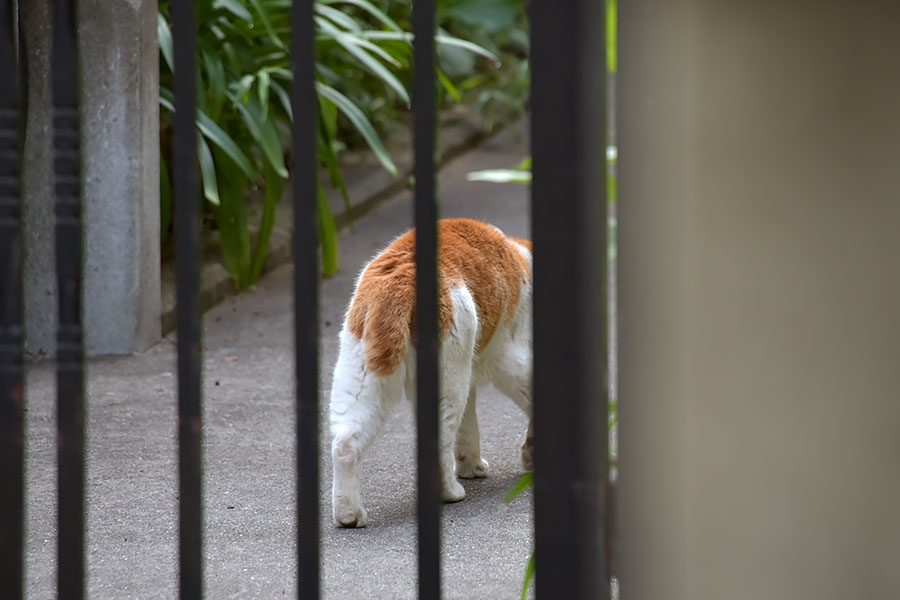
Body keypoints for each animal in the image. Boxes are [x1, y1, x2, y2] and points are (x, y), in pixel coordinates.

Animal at [326, 218, 532, 528]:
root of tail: (402, 279)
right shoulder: (509, 359)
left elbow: (468, 427)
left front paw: (471, 466)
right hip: (448, 381)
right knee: (439, 439)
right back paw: (449, 493)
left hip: (363, 377)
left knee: (345, 442)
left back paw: (349, 514)